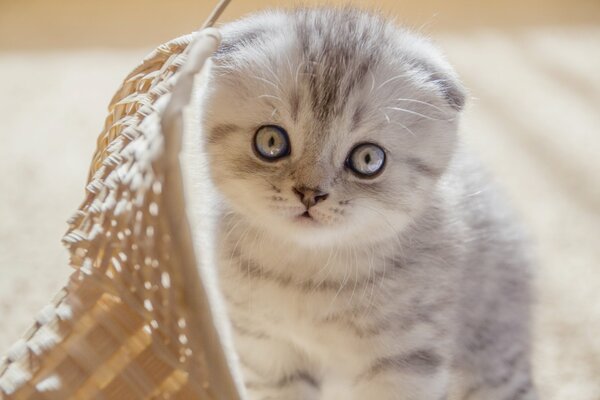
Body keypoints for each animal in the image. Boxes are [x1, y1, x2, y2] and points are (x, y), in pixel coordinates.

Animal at [196, 7, 536, 400]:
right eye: (270, 141)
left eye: (368, 159)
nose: (310, 194)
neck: (308, 277)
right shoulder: (267, 351)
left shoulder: (404, 363)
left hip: (492, 367)